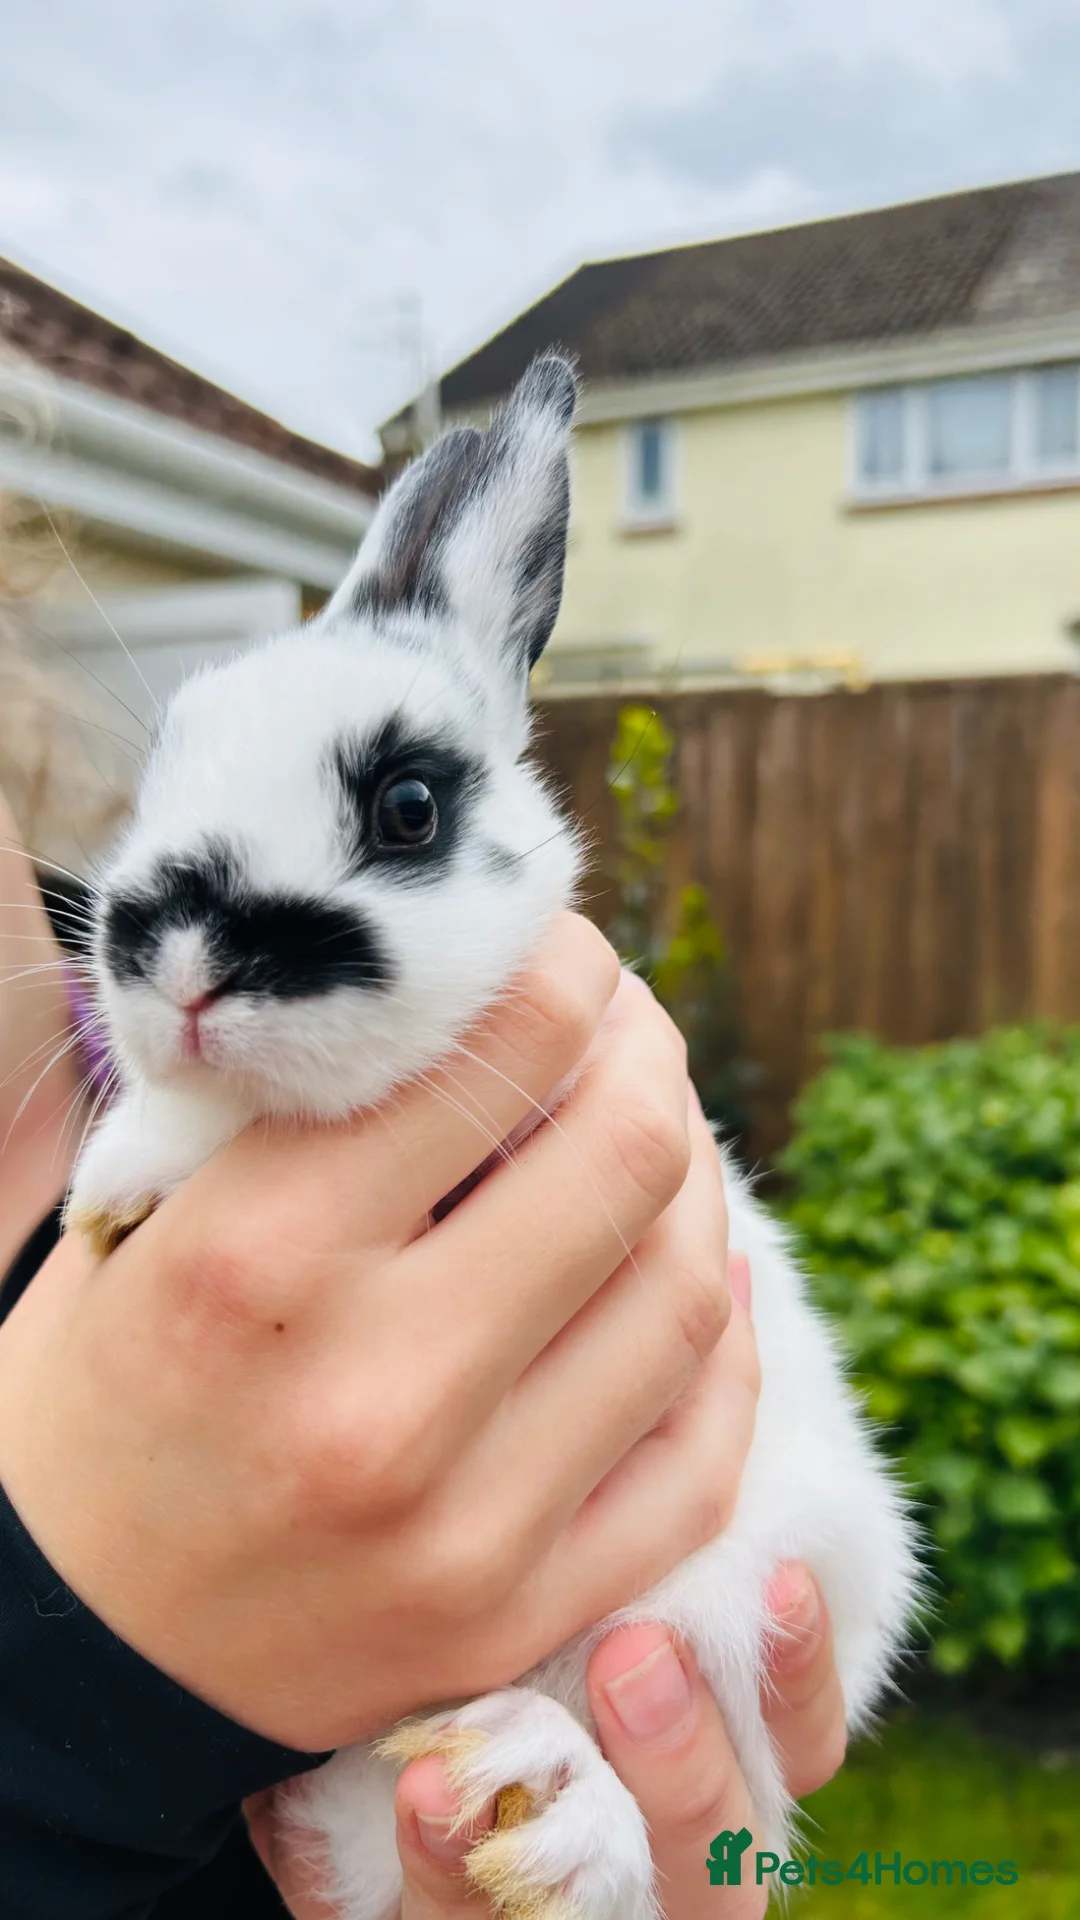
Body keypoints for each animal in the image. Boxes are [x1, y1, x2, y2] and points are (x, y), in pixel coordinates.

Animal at [66, 353, 920, 1920]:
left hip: (775, 1577)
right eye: (164, 760)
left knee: (642, 1741)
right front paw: (123, 1182)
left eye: (408, 806)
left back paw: (547, 1799)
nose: (180, 958)